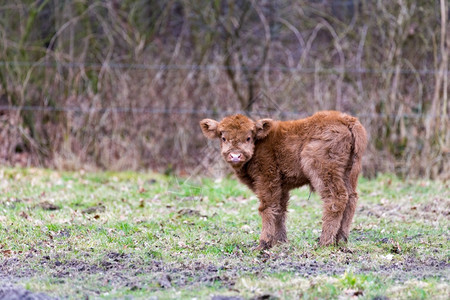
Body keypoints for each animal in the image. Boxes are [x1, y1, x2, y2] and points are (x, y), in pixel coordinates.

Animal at [200, 111, 366, 250]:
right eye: (223, 137)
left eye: (248, 137)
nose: (235, 155)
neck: (260, 143)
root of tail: (346, 119)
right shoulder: (281, 186)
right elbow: (280, 209)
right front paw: (280, 241)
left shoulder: (267, 179)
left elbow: (267, 207)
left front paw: (264, 243)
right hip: (349, 174)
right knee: (351, 199)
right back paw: (341, 240)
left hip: (324, 171)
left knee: (336, 198)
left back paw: (324, 242)